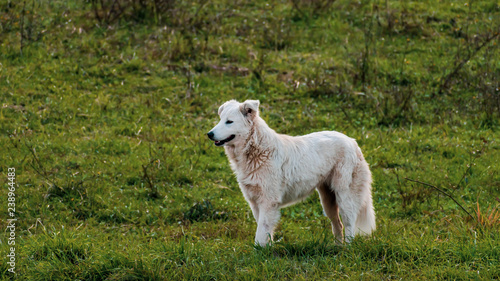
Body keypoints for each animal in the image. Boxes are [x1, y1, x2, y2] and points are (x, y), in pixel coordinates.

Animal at [207, 99, 376, 244]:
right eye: (220, 120)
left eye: (229, 122)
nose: (209, 134)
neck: (257, 150)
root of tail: (353, 142)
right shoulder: (255, 202)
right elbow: (264, 230)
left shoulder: (268, 201)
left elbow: (260, 232)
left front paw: (259, 253)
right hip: (328, 200)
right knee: (338, 225)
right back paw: (338, 248)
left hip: (344, 196)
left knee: (349, 224)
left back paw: (347, 249)